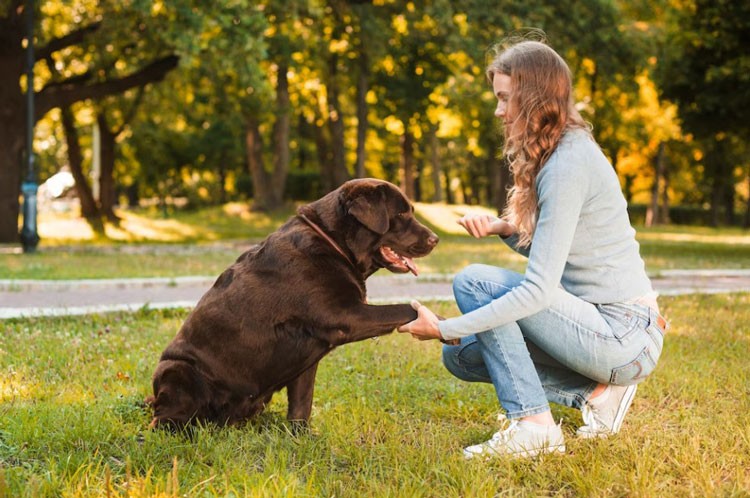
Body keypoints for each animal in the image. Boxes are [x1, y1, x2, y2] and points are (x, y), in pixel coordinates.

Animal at [148, 178, 440, 428]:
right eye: (400, 215)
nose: (435, 239)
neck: (333, 243)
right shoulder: (345, 315)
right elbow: (403, 308)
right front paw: (438, 322)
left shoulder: (309, 353)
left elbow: (302, 403)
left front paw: (302, 437)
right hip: (178, 369)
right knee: (164, 420)